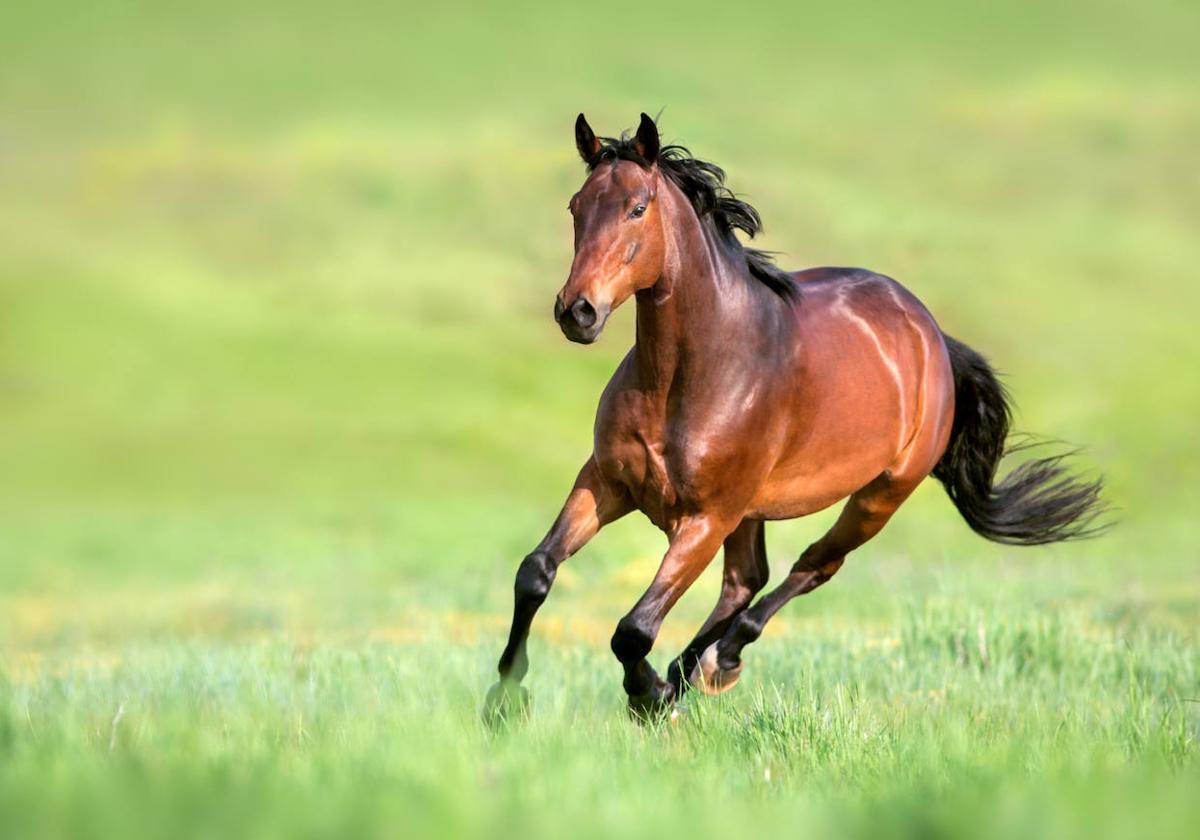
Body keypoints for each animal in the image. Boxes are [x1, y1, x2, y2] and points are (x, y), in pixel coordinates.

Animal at [482, 114, 1099, 724]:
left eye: (637, 207)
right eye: (576, 206)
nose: (577, 311)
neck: (688, 375)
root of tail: (929, 333)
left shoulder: (705, 518)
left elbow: (633, 629)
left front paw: (648, 696)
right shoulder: (608, 482)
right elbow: (535, 572)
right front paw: (504, 699)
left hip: (878, 497)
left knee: (810, 568)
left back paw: (715, 665)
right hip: (752, 510)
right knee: (745, 581)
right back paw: (693, 673)